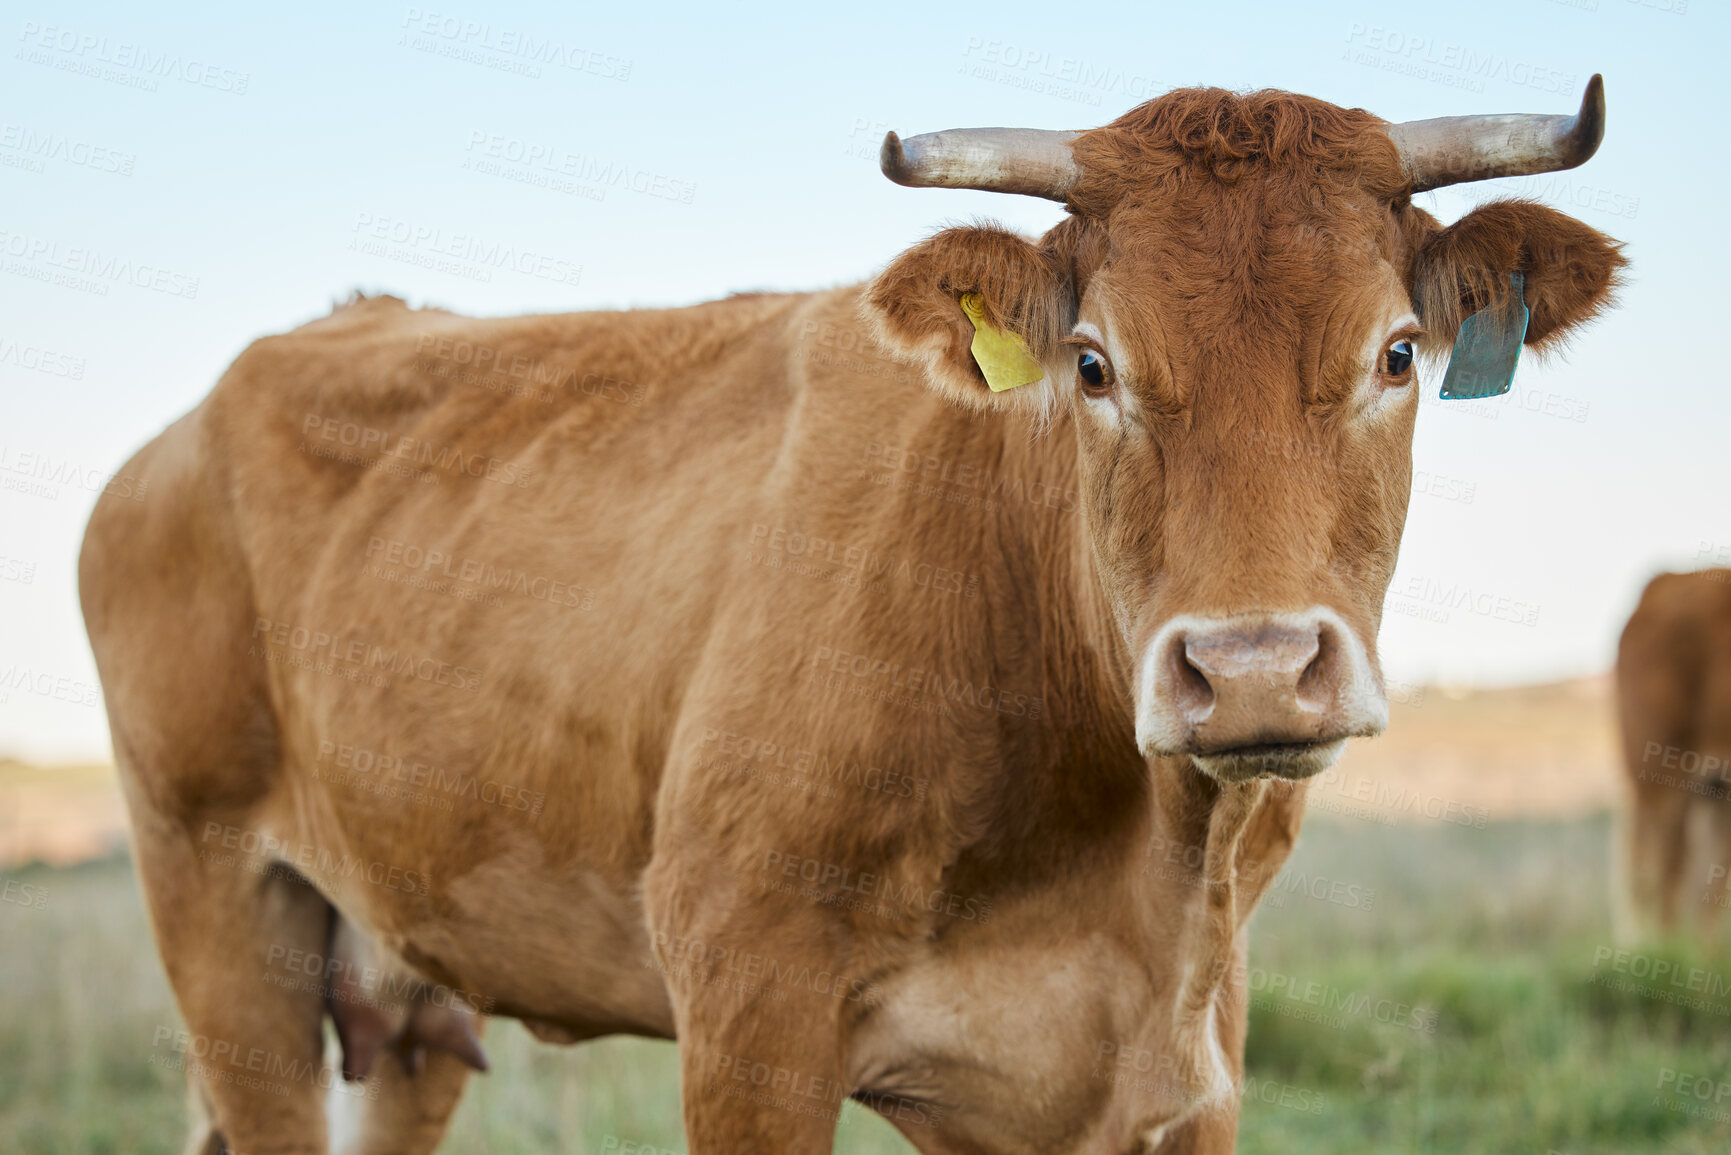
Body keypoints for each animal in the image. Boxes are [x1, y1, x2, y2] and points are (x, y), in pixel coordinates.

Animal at [77, 83, 1620, 1155]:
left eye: (1397, 352)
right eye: (1093, 363)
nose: (1249, 669)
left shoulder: (1181, 1064)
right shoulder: (750, 1015)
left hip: (392, 986)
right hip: (219, 903)